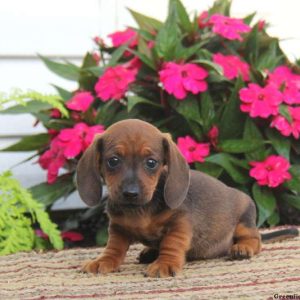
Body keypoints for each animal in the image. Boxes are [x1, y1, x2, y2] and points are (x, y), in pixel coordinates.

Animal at [77, 118, 298, 278]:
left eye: (151, 162)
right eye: (113, 161)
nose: (130, 193)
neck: (140, 210)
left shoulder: (179, 224)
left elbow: (171, 244)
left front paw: (165, 264)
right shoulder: (118, 228)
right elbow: (114, 247)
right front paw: (103, 261)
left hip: (244, 219)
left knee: (255, 239)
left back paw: (242, 248)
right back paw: (149, 252)